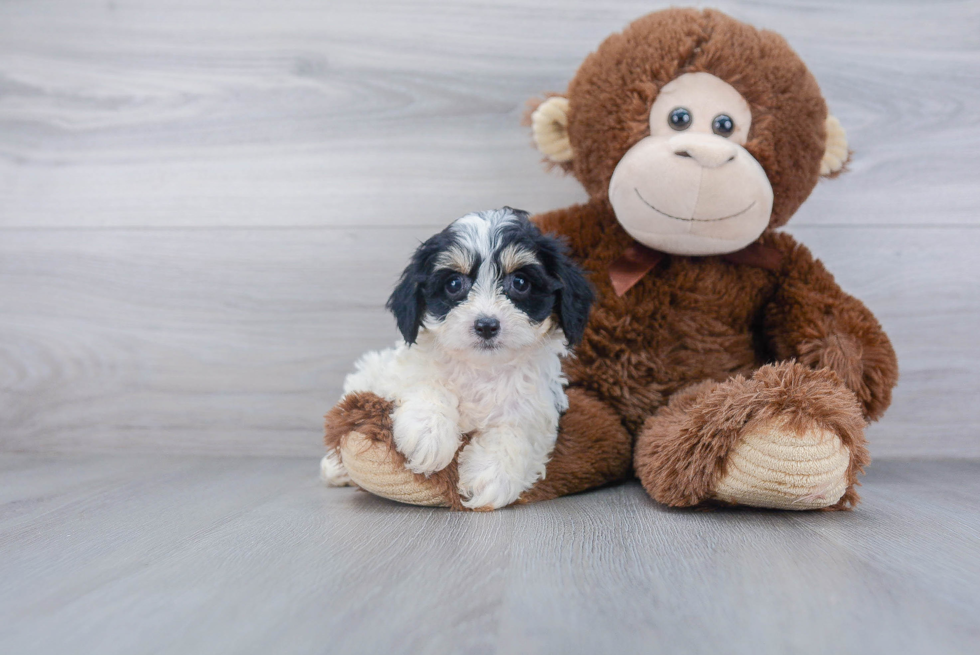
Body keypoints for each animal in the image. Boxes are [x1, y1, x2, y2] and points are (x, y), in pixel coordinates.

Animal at [322, 208, 592, 510]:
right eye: (454, 284)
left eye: (520, 283)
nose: (486, 325)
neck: (483, 368)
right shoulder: (400, 373)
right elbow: (427, 383)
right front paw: (429, 435)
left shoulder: (538, 405)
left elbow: (518, 430)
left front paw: (491, 475)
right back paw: (334, 470)